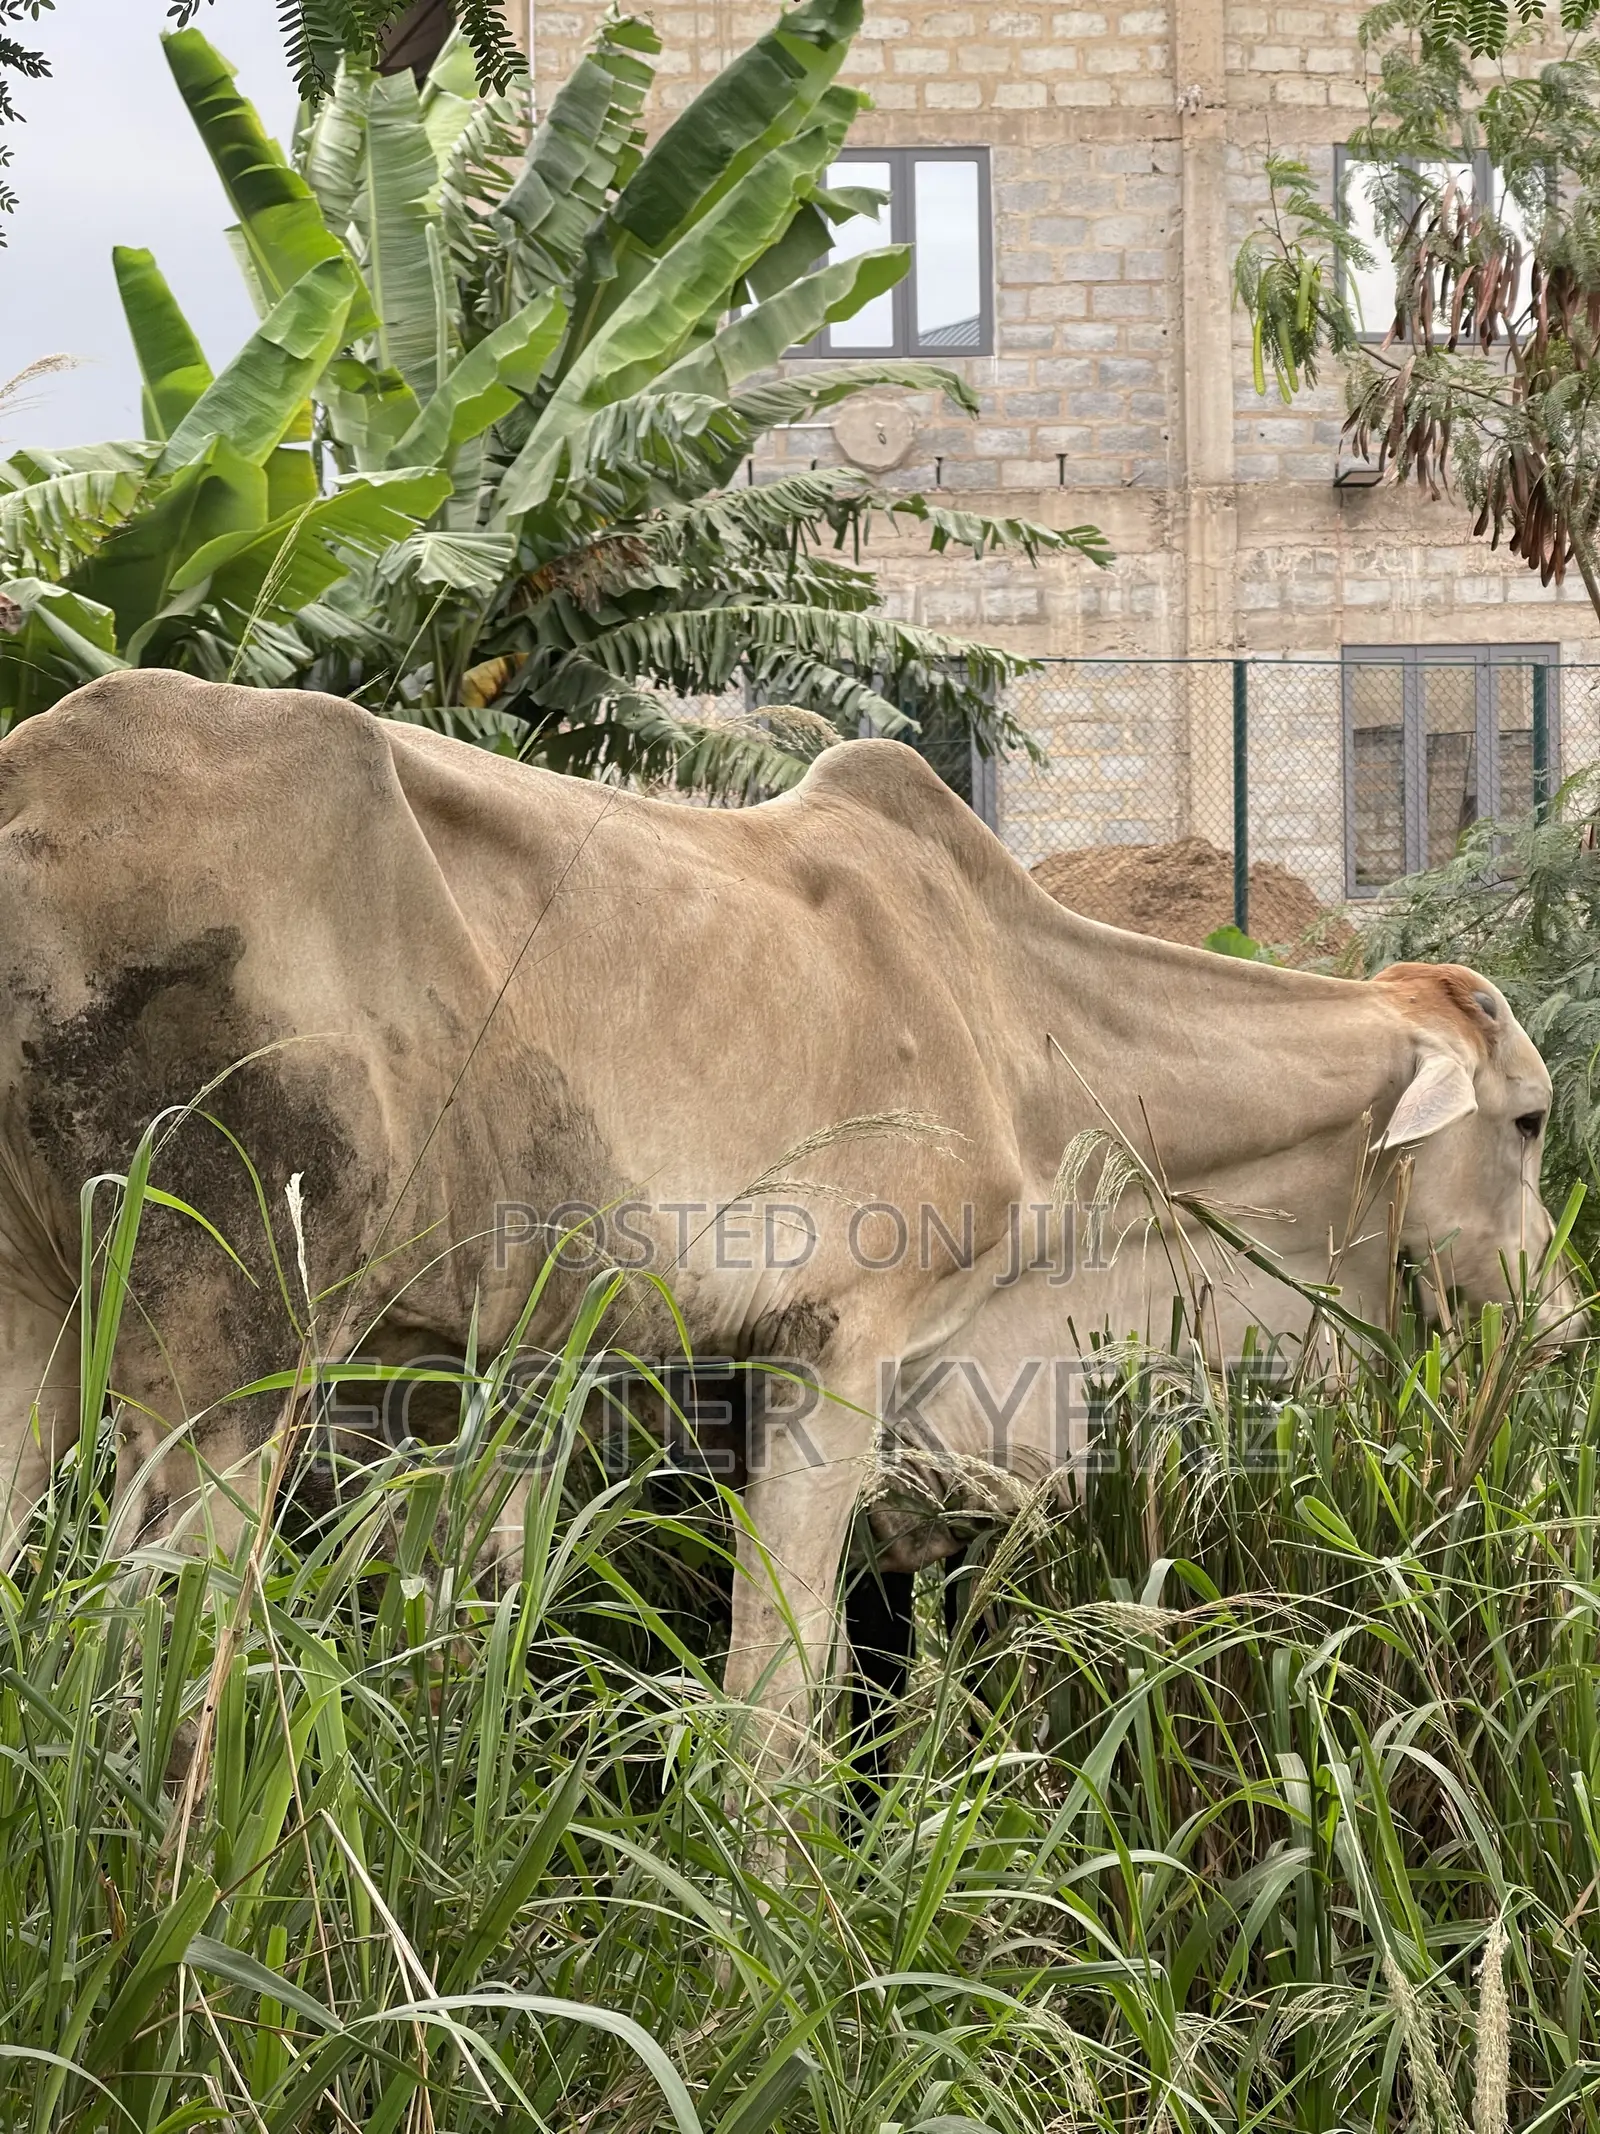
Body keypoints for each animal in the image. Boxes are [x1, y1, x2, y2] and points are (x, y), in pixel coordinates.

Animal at [0, 671, 1575, 1738]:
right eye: (1532, 1118)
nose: (1559, 1319)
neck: (1017, 1024)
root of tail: (33, 785)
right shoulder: (843, 1347)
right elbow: (779, 1705)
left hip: (44, 1332)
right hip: (226, 1371)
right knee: (149, 1691)